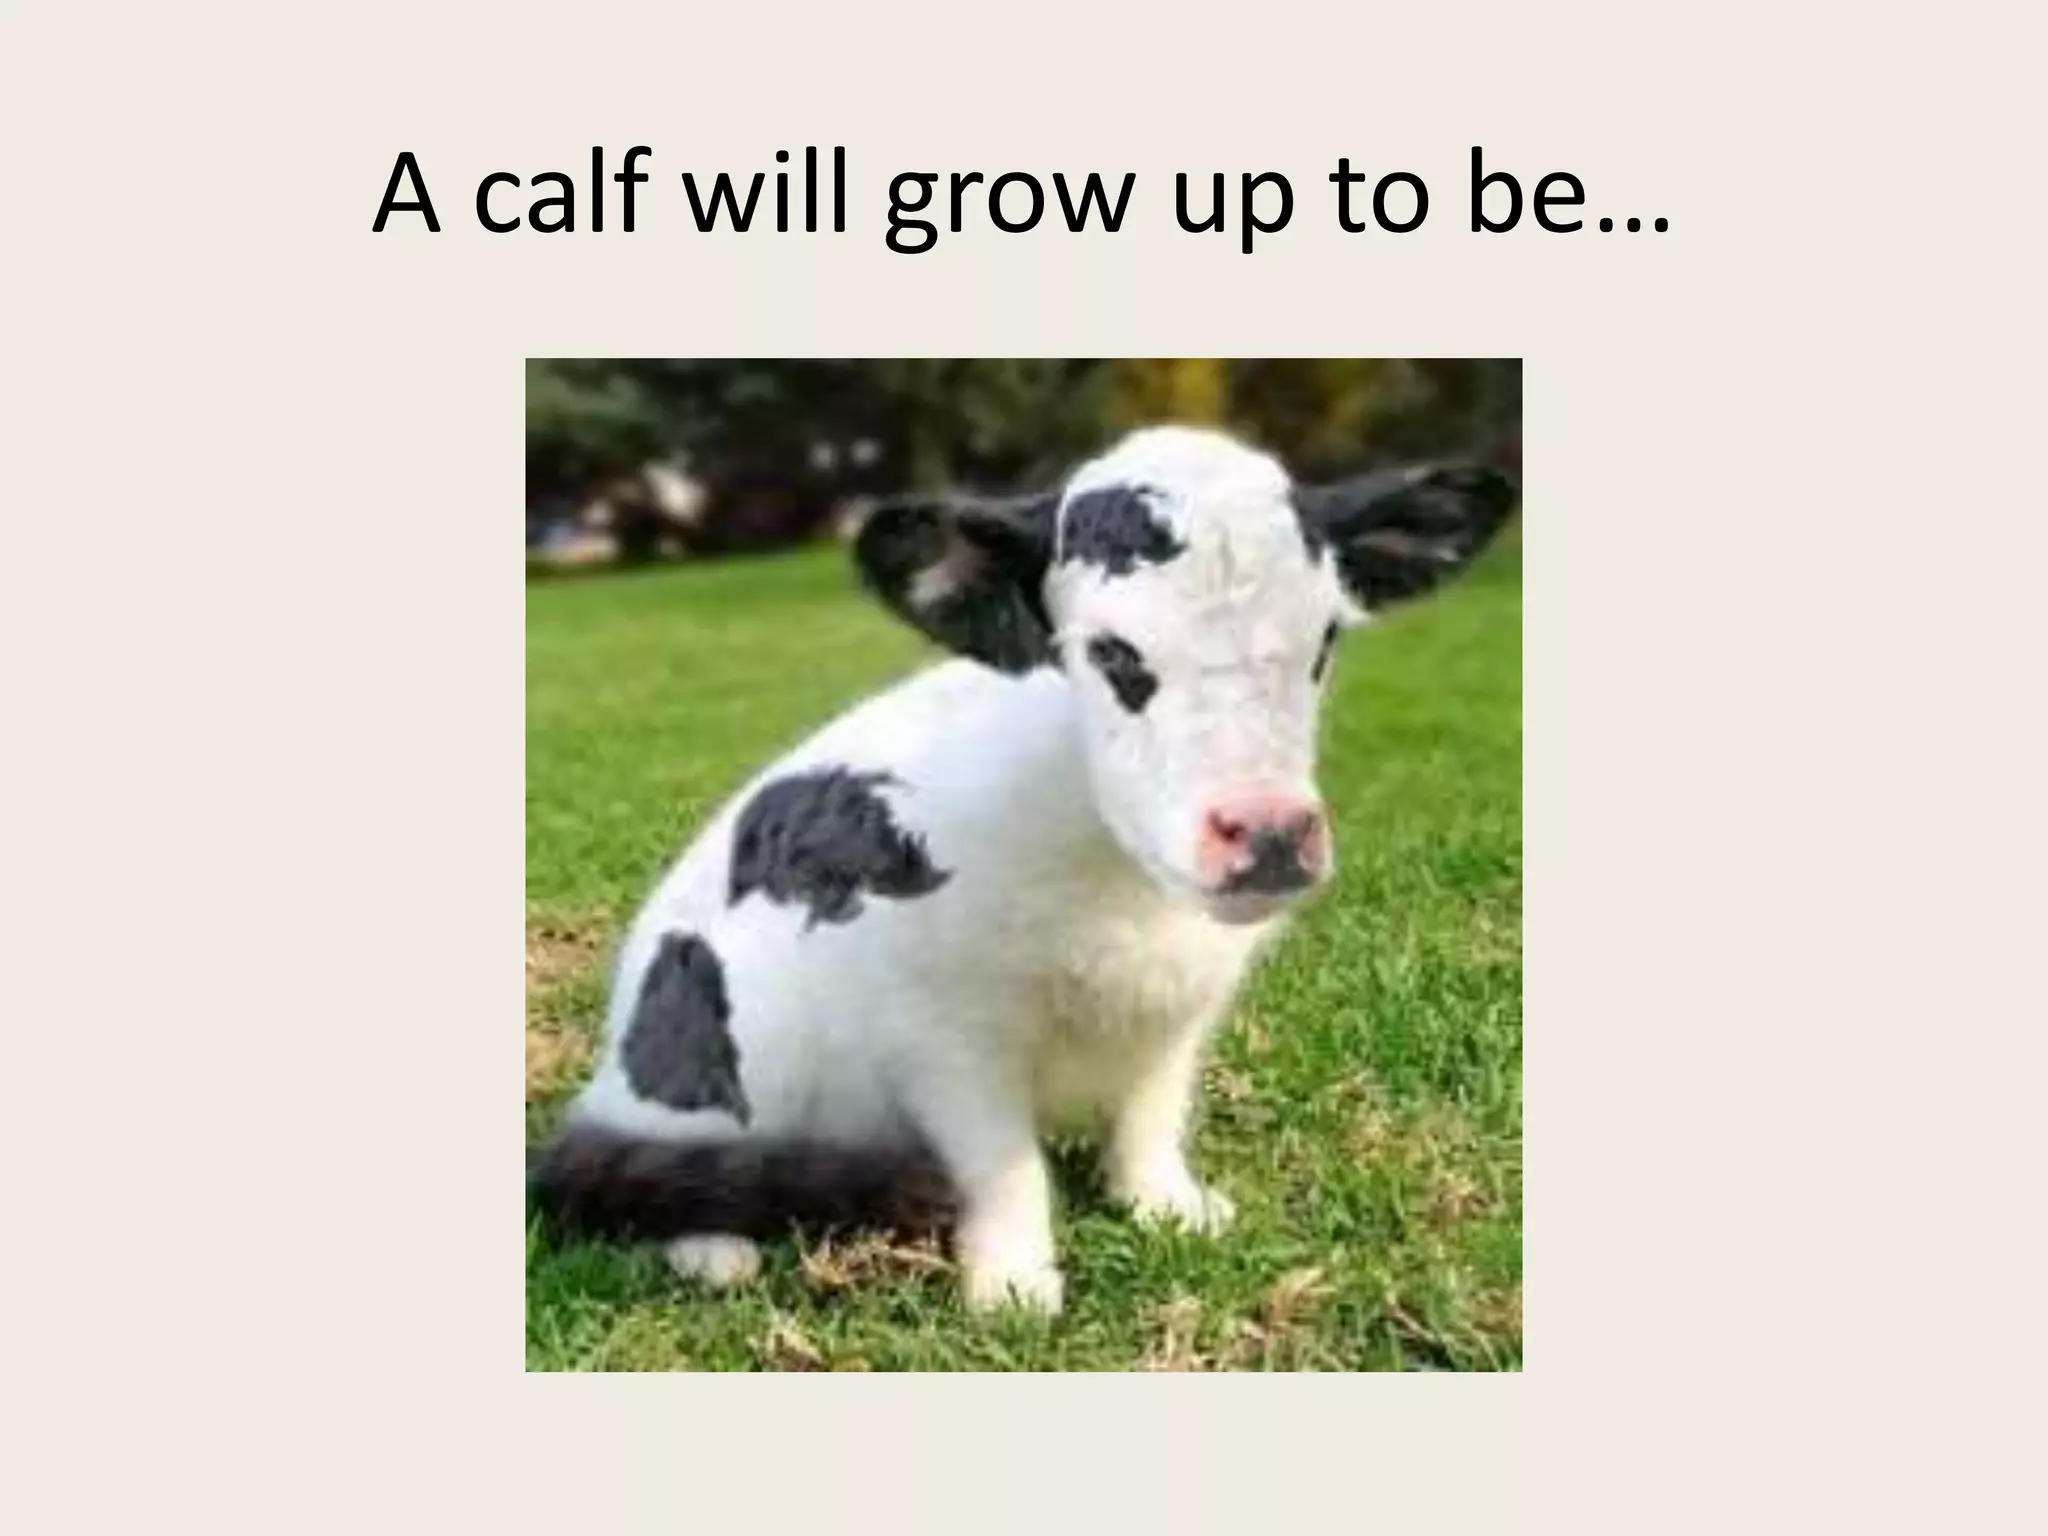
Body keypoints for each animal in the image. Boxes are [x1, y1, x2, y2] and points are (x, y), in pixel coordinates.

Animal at [529, 424, 1515, 1314]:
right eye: (1112, 653)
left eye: (1324, 641)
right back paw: (715, 1249)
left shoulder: (1180, 1017)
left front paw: (1171, 1211)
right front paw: (1012, 1291)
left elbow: (1151, 1117)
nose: (1269, 833)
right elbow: (1000, 1166)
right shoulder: (945, 1039)